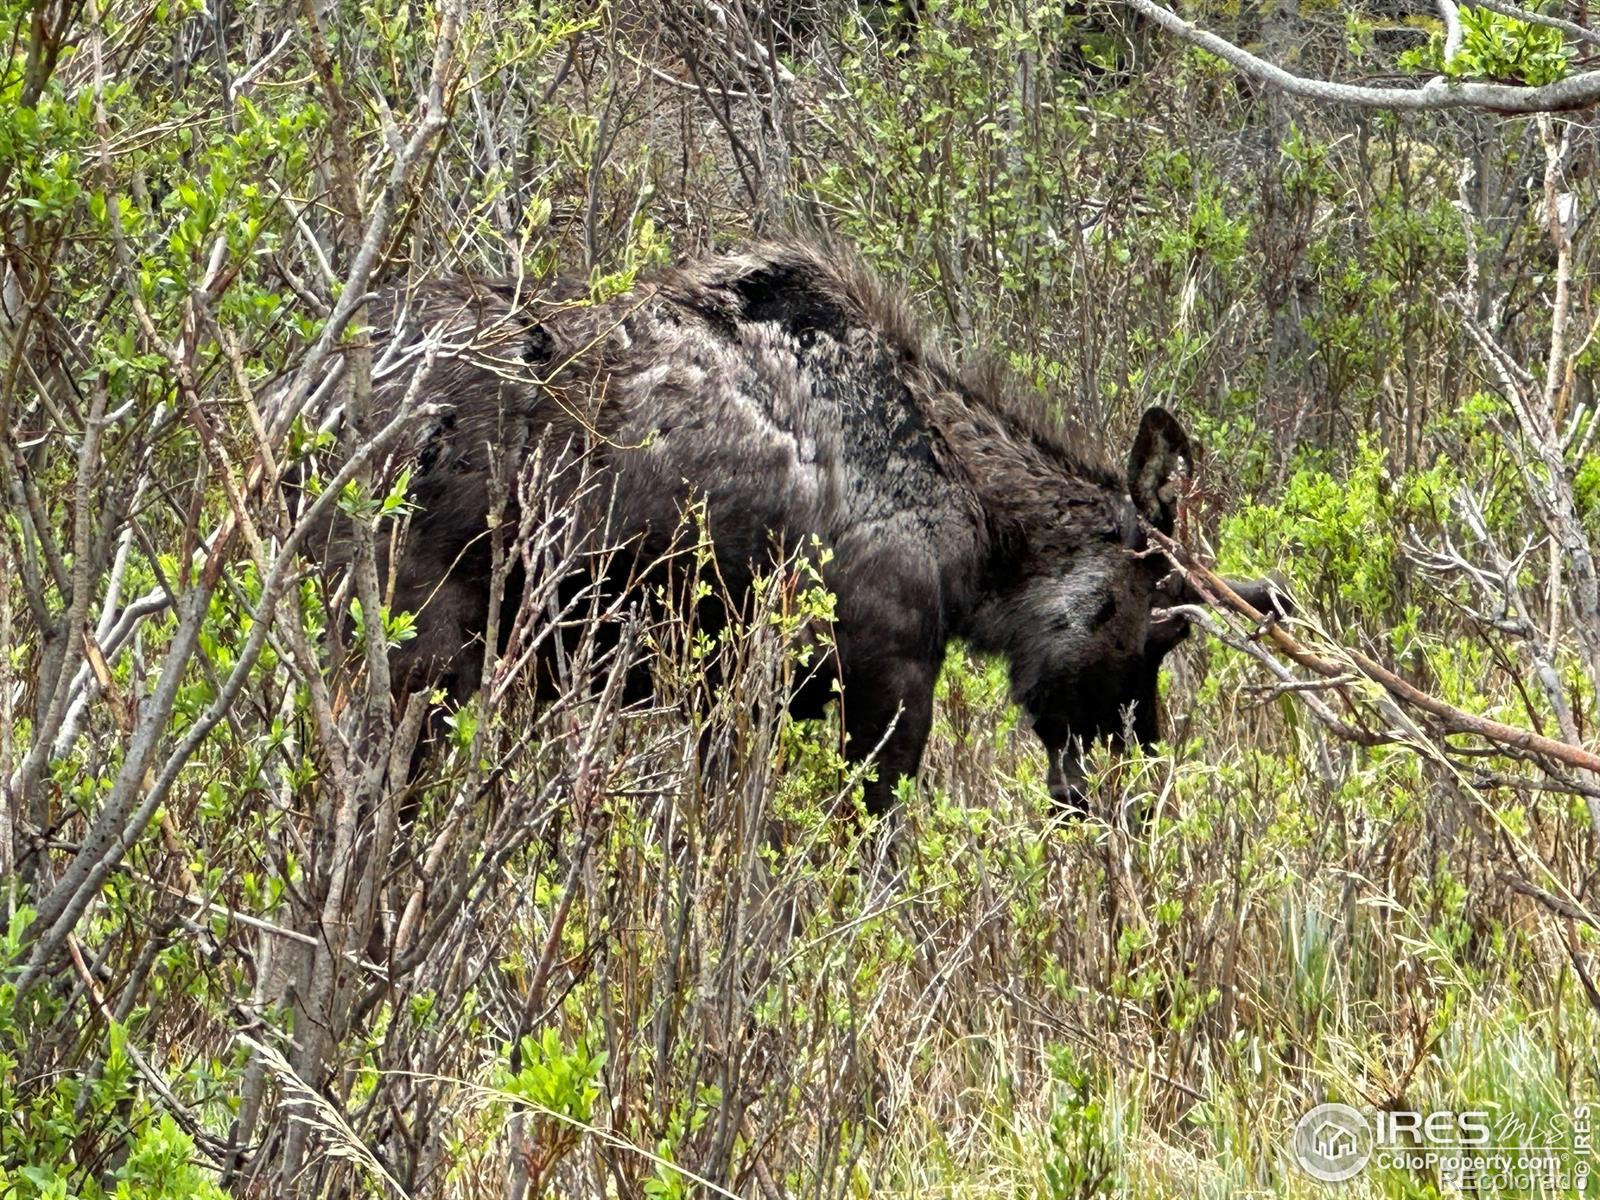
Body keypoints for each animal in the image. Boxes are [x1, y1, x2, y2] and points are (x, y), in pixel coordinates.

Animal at [284, 238, 1286, 812]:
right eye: (1158, 626)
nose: (1133, 789)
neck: (979, 529)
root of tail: (298, 400)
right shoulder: (888, 674)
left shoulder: (726, 696)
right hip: (422, 648)